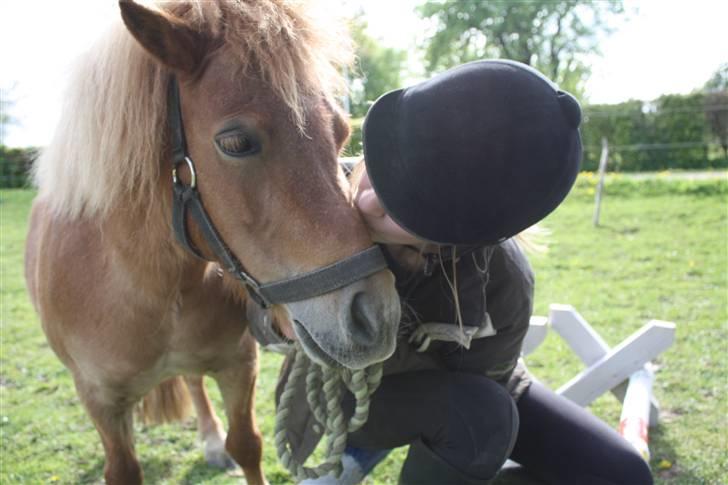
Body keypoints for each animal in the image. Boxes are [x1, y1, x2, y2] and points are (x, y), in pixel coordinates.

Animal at [24, 1, 401, 484]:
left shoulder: (237, 364)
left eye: (340, 131)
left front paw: (226, 443)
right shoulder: (101, 402)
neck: (144, 285)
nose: (376, 318)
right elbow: (123, 469)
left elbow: (247, 445)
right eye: (235, 142)